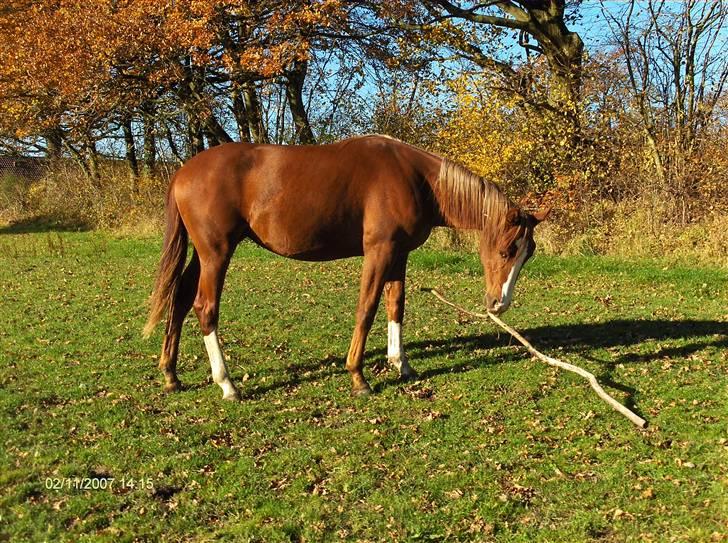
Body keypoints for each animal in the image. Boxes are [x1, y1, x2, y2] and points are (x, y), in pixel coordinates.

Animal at [145, 135, 548, 400]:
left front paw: (401, 364)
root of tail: (183, 172)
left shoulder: (399, 254)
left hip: (202, 255)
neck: (415, 179)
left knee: (180, 300)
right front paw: (358, 376)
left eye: (528, 253)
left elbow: (396, 306)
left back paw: (171, 375)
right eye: (506, 250)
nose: (499, 304)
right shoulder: (379, 252)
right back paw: (227, 384)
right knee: (205, 308)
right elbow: (367, 308)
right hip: (217, 253)